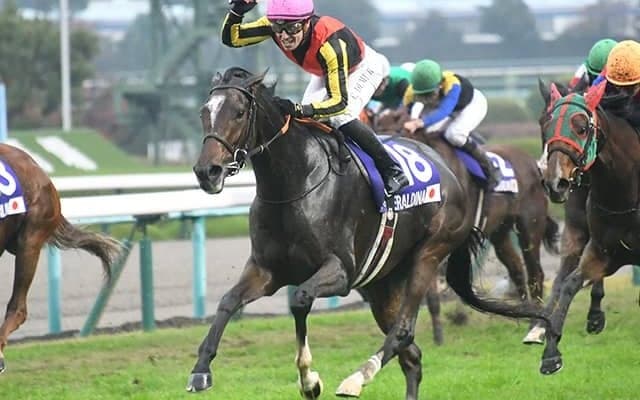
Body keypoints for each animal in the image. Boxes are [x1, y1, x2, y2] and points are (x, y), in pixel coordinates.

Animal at [373, 107, 560, 336]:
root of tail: (534, 164)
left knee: (535, 273)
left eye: (395, 129)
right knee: (516, 268)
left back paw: (536, 325)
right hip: (500, 232)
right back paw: (524, 312)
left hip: (530, 225)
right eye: (376, 127)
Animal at [534, 80, 640, 375]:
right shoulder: (602, 250)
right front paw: (550, 352)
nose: (555, 183)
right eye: (545, 125)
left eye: (581, 127)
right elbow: (569, 283)